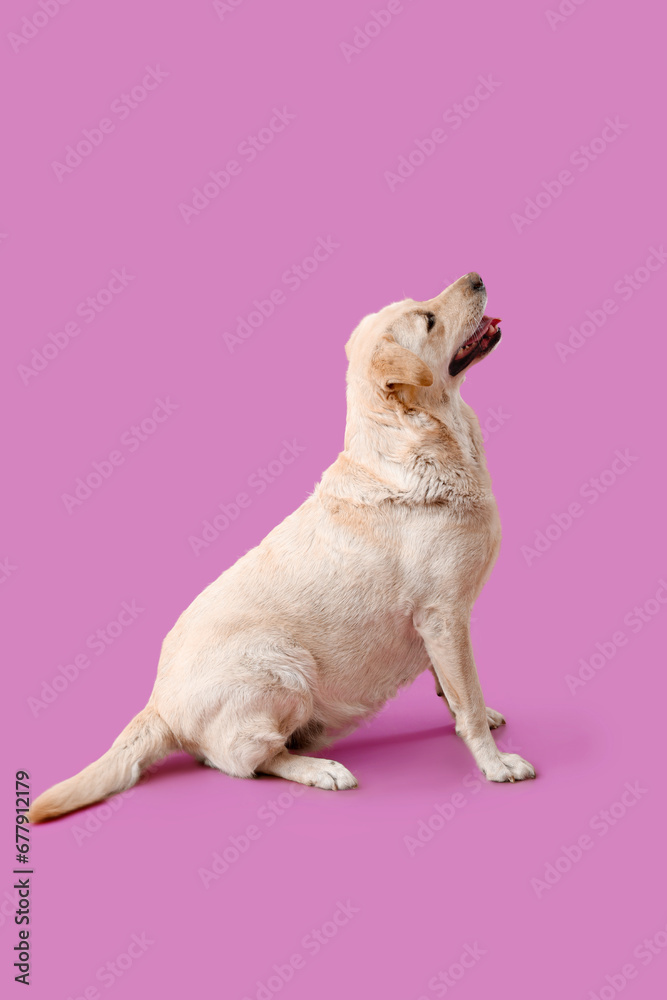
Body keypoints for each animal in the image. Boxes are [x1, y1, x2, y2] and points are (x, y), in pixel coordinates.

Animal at [28, 272, 536, 820]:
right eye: (428, 319)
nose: (477, 277)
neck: (424, 437)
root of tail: (157, 705)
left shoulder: (440, 626)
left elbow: (452, 688)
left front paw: (481, 716)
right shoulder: (444, 615)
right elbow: (467, 700)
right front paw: (495, 763)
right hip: (285, 667)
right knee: (243, 760)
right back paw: (320, 769)